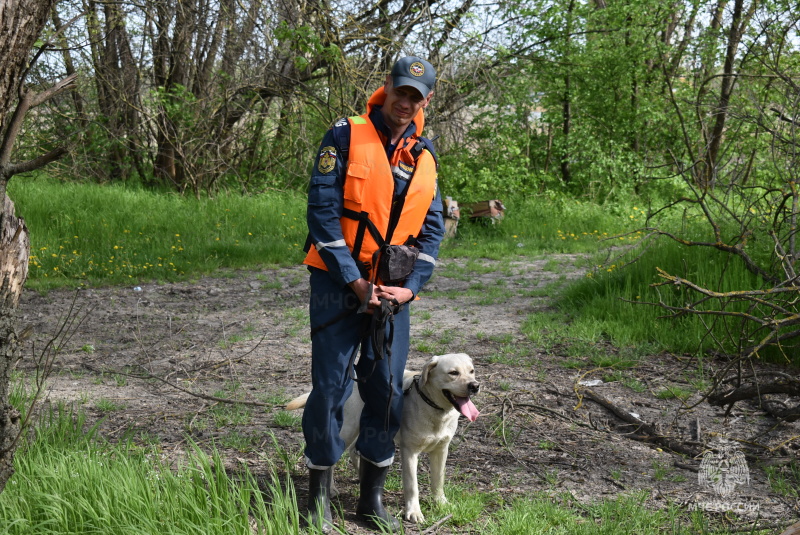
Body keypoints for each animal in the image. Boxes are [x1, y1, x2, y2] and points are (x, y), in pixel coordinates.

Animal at [284, 354, 478, 524]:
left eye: (472, 371)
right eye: (453, 373)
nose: (475, 386)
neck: (433, 408)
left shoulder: (441, 450)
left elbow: (438, 480)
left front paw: (441, 503)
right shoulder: (409, 452)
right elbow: (412, 485)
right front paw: (414, 512)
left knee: (355, 451)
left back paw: (362, 477)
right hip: (348, 429)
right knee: (332, 457)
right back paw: (330, 488)